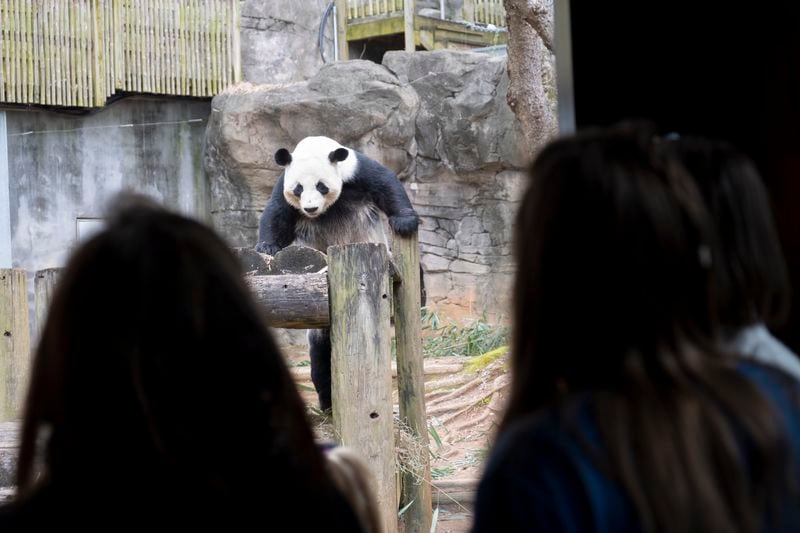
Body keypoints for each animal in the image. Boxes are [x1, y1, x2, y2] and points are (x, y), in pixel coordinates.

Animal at [256, 135, 422, 410]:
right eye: (299, 189)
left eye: (321, 186)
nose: (310, 209)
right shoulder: (284, 185)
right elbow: (276, 215)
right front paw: (266, 246)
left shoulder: (356, 172)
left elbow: (387, 186)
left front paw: (405, 221)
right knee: (321, 352)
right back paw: (327, 401)